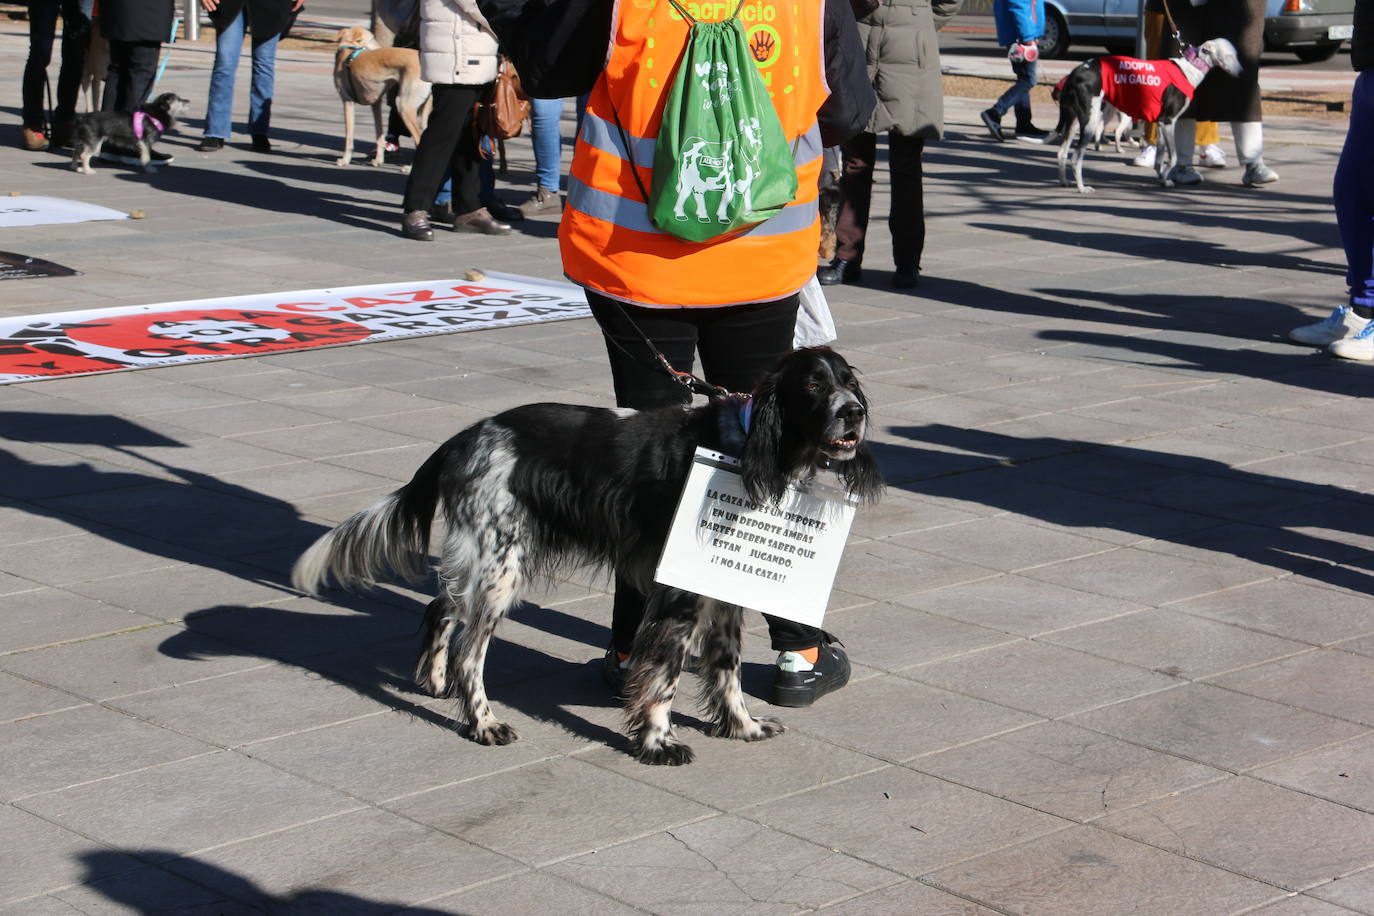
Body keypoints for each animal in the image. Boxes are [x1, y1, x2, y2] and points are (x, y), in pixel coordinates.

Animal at [295, 347, 884, 763]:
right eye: (814, 385)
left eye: (850, 383)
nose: (853, 413)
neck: (747, 447)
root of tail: (465, 438)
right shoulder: (678, 591)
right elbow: (666, 674)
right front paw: (658, 743)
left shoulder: (718, 590)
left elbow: (727, 669)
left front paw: (743, 727)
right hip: (501, 566)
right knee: (469, 651)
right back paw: (484, 724)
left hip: (485, 560)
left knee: (442, 607)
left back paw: (436, 684)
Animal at [1049, 38, 1247, 193]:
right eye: (1230, 55)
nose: (1243, 73)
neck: (1190, 68)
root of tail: (1075, 73)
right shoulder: (1168, 122)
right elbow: (1173, 157)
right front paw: (1167, 175)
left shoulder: (1160, 124)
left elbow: (1159, 158)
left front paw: (1163, 180)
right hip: (1089, 122)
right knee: (1075, 157)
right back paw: (1082, 188)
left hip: (1073, 120)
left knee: (1062, 153)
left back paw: (1064, 182)